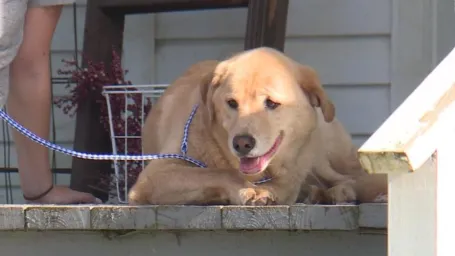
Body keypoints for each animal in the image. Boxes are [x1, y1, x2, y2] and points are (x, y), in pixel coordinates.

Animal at [128, 46, 388, 206]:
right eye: (232, 103)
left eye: (271, 103)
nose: (242, 143)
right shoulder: (156, 174)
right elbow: (217, 172)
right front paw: (247, 189)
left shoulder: (292, 173)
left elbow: (284, 184)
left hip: (327, 155)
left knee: (355, 178)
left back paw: (341, 192)